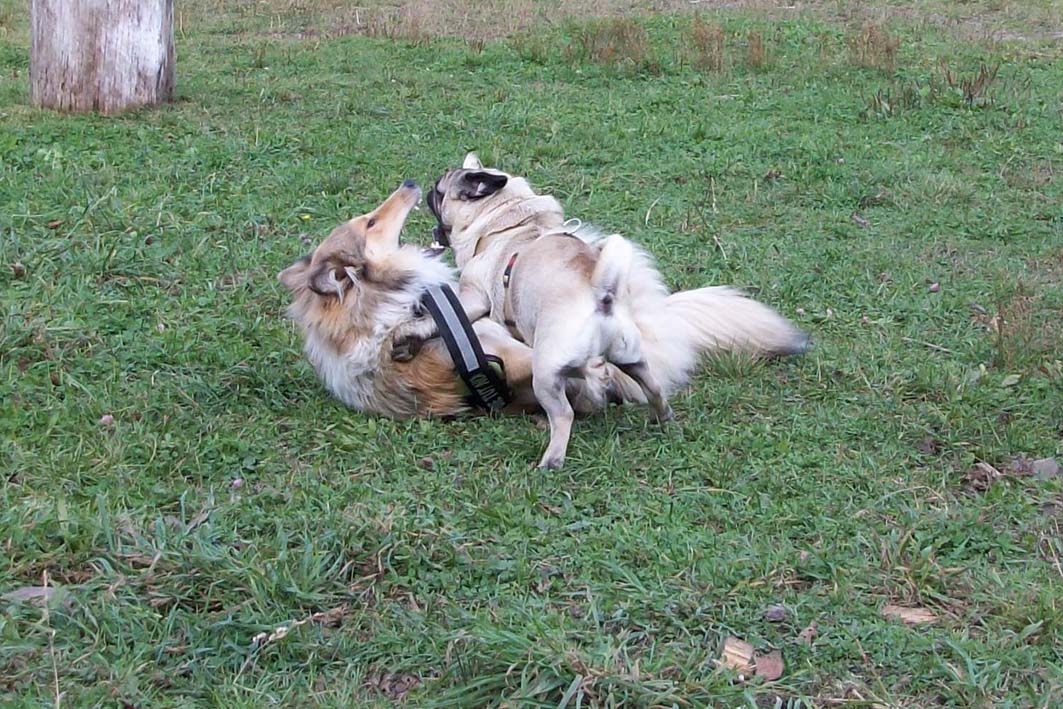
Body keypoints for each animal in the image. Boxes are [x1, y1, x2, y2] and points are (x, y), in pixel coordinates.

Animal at [423, 153, 809, 469]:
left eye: (440, 190)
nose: (428, 191)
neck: (506, 222)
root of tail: (602, 298)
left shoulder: (474, 295)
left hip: (546, 373)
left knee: (563, 414)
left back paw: (552, 459)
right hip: (631, 358)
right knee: (651, 388)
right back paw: (662, 419)